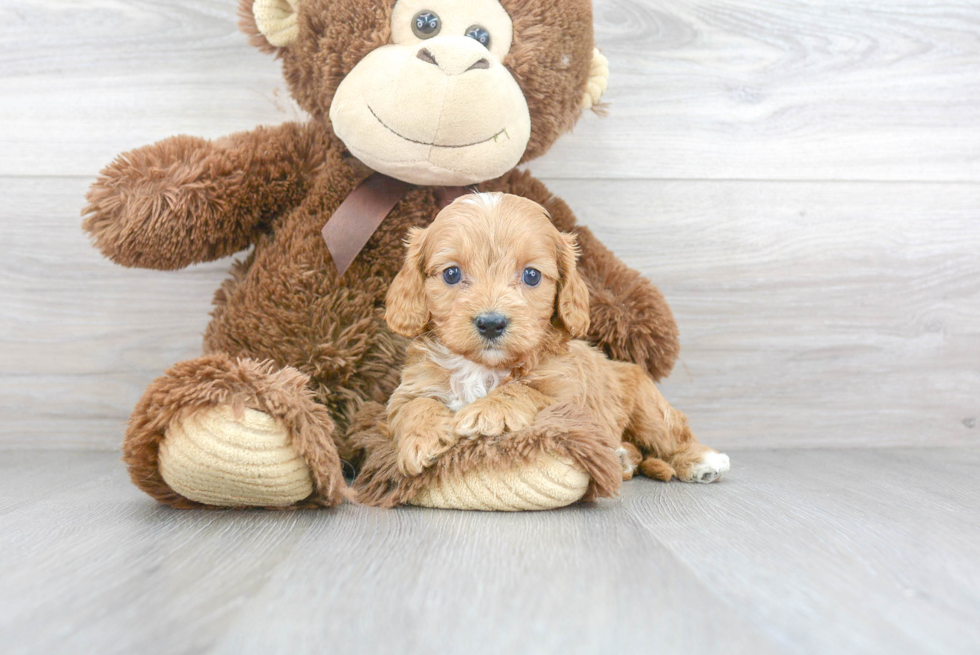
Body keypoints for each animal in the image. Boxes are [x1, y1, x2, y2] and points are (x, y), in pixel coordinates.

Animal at [382, 192, 728, 484]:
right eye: (451, 274)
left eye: (532, 275)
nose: (491, 323)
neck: (483, 367)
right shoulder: (410, 389)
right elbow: (415, 406)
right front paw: (423, 438)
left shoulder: (569, 398)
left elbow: (525, 390)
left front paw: (487, 411)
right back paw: (622, 458)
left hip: (648, 409)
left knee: (672, 433)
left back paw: (703, 460)